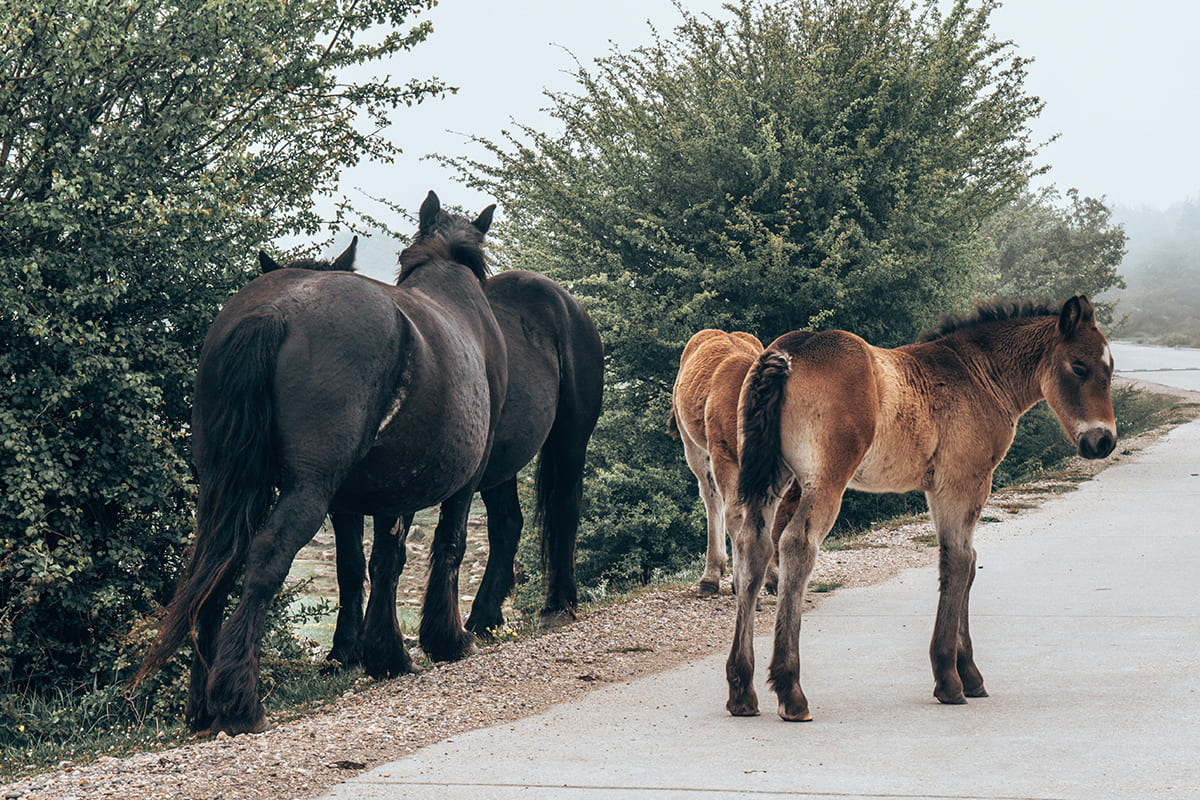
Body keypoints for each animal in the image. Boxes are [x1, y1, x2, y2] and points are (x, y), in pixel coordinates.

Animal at [139, 190, 506, 734]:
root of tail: (275, 310)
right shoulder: (459, 479)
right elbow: (442, 546)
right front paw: (439, 641)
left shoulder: (361, 496)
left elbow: (365, 563)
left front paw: (372, 653)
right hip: (307, 490)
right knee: (264, 558)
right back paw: (239, 701)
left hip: (223, 486)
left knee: (214, 565)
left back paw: (202, 705)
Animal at [265, 248, 600, 676]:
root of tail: (564, 301)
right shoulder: (342, 503)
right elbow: (350, 566)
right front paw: (343, 652)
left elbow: (387, 557)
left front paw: (378, 649)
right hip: (497, 467)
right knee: (507, 525)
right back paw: (482, 620)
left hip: (570, 439)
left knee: (563, 511)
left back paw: (557, 606)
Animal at [724, 297, 1118, 724]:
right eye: (1078, 366)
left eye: (1110, 369)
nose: (1103, 441)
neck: (980, 375)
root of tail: (786, 352)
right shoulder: (963, 481)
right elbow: (958, 562)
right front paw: (950, 678)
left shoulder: (940, 488)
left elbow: (966, 562)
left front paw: (969, 674)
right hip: (823, 479)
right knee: (796, 546)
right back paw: (791, 691)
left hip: (773, 478)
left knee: (752, 549)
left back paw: (741, 689)